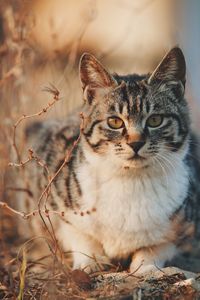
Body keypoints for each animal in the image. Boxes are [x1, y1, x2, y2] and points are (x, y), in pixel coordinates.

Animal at [21, 47, 200, 274]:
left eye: (155, 120)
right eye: (115, 121)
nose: (136, 143)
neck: (131, 180)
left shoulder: (187, 224)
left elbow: (160, 245)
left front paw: (146, 266)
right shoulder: (52, 197)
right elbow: (78, 234)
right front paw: (89, 261)